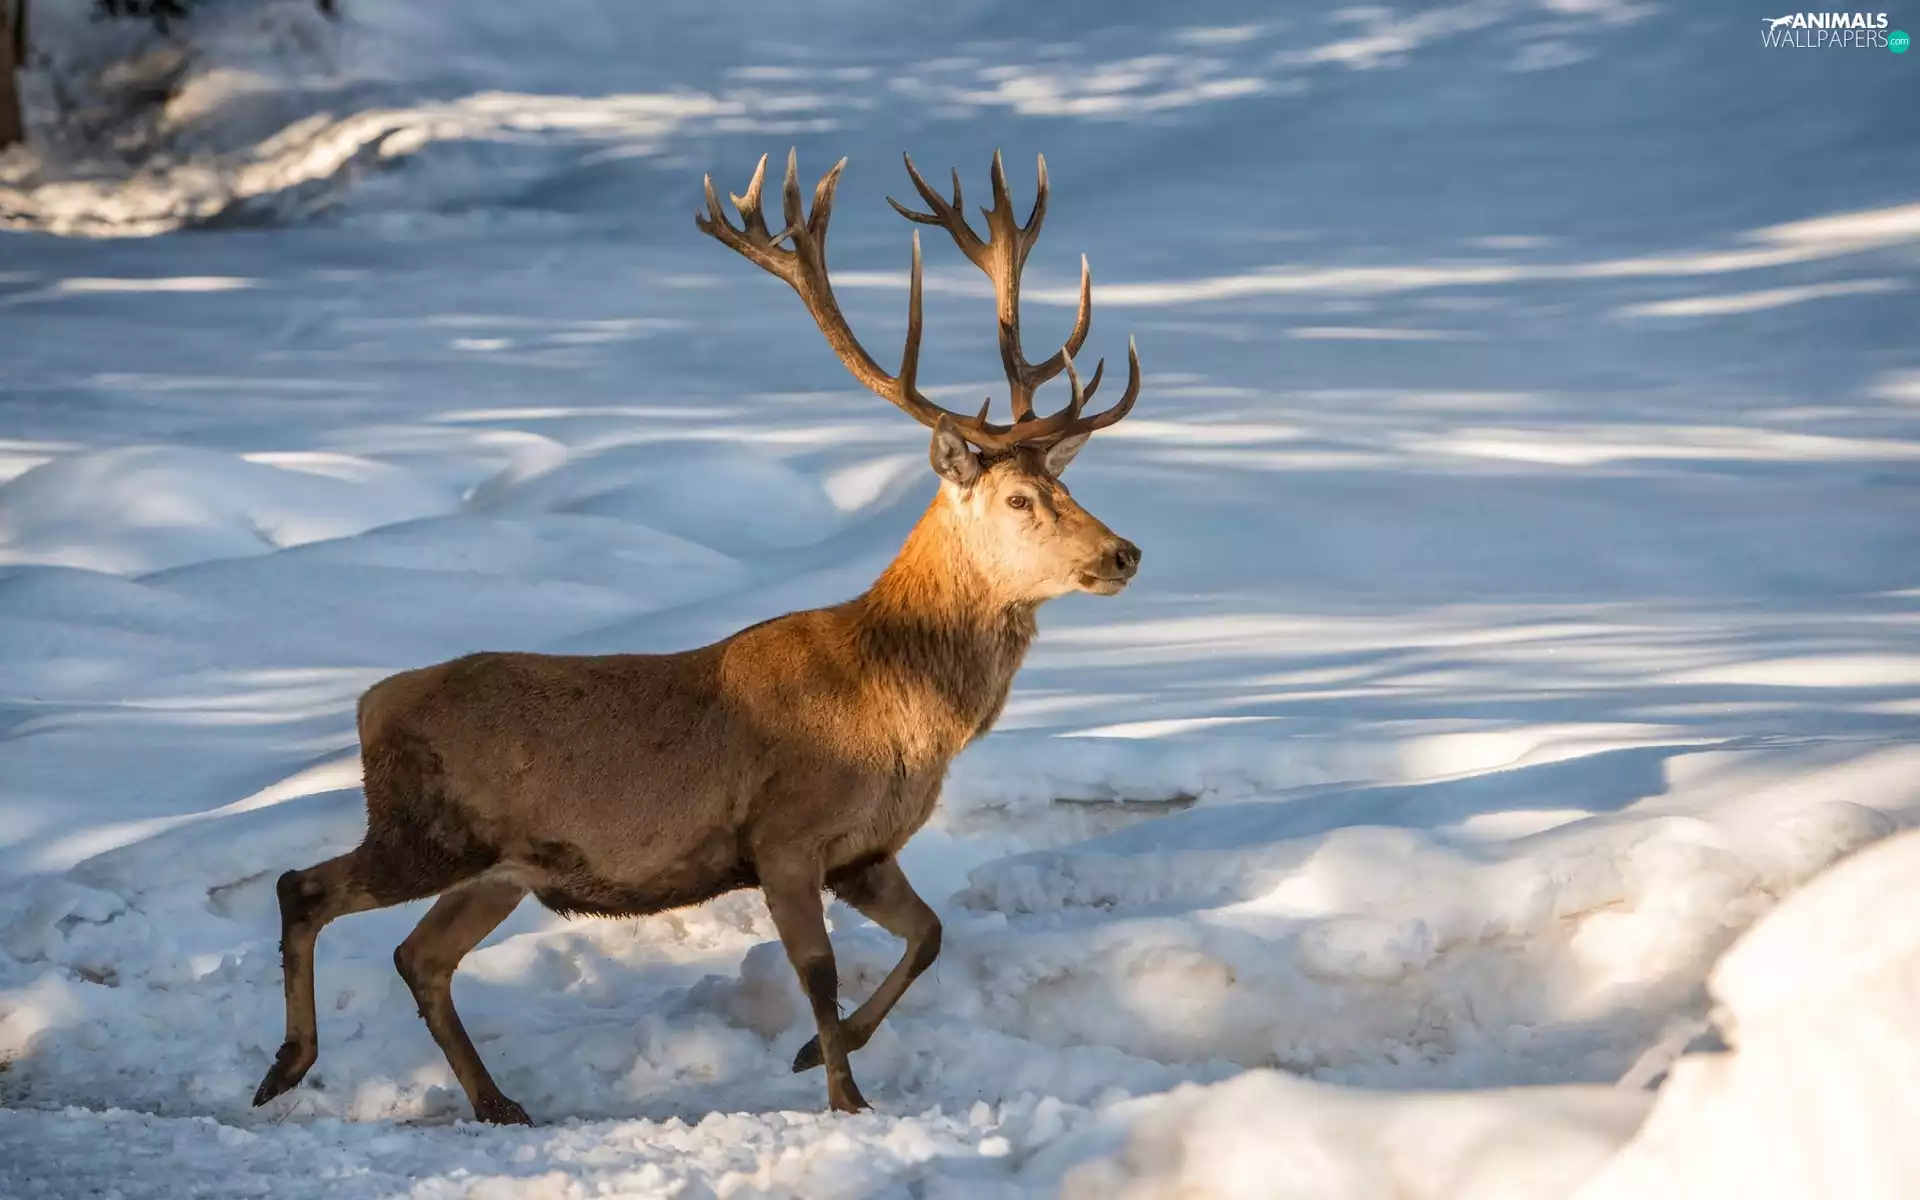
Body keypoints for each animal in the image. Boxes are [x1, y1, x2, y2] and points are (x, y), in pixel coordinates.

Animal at [249, 148, 1143, 1125]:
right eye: (1020, 499)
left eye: (1066, 487)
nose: (1123, 552)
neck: (897, 705)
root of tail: (371, 703)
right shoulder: (784, 835)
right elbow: (818, 972)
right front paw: (845, 1096)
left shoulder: (865, 851)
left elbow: (931, 935)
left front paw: (815, 1055)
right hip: (424, 828)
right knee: (304, 888)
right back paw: (287, 1066)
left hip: (499, 868)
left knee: (422, 955)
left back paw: (496, 1102)